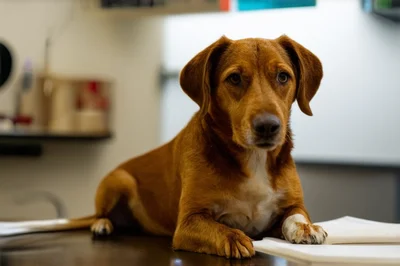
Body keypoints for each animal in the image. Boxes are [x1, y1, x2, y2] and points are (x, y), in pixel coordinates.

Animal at [18, 34, 328, 258]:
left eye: (283, 76)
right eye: (234, 78)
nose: (267, 126)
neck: (252, 160)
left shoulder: (291, 205)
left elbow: (296, 215)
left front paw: (306, 227)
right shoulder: (188, 222)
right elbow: (221, 228)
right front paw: (234, 238)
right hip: (119, 180)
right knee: (101, 213)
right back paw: (102, 224)